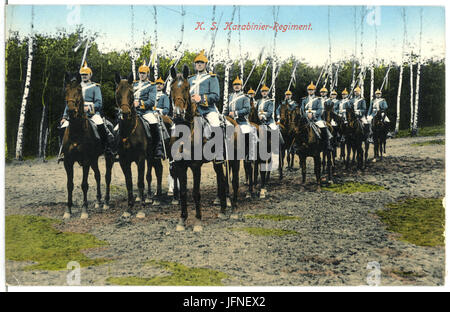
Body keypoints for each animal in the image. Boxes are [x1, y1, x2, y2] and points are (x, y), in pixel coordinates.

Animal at [61, 72, 114, 219]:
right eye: (66, 91)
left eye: (79, 90)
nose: (71, 111)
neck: (76, 132)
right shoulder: (68, 161)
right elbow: (69, 184)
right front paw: (68, 210)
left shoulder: (85, 161)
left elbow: (84, 184)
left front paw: (84, 210)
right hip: (94, 159)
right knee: (98, 175)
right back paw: (98, 201)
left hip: (108, 157)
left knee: (107, 177)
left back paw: (106, 202)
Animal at [169, 65, 241, 232]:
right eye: (172, 88)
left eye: (186, 88)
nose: (178, 113)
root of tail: (232, 121)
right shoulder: (180, 166)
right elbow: (183, 192)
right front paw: (182, 220)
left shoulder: (196, 166)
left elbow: (196, 192)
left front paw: (197, 221)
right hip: (218, 163)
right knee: (222, 180)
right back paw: (222, 211)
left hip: (234, 160)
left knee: (234, 182)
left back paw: (234, 211)